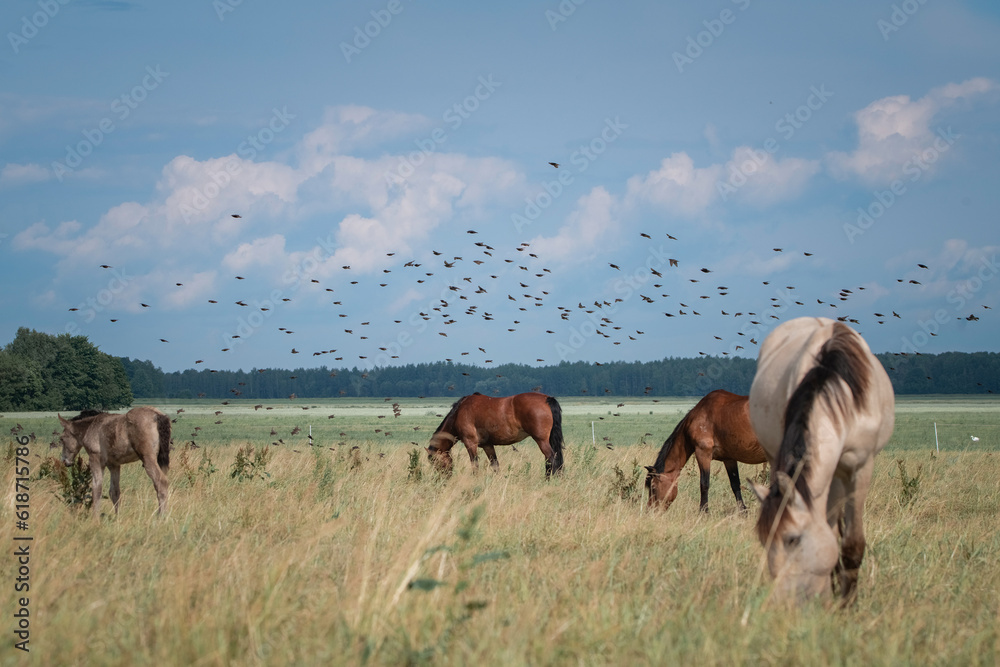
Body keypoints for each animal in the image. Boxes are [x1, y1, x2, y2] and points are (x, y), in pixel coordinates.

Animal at [426, 392, 564, 478]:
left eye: (435, 462)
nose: (441, 480)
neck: (458, 413)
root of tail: (547, 399)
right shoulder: (487, 445)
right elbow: (495, 465)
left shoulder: (470, 443)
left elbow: (475, 465)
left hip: (541, 441)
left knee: (553, 460)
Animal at [747, 317, 894, 605]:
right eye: (763, 540)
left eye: (793, 540)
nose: (781, 600)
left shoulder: (860, 469)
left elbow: (852, 542)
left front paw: (847, 604)